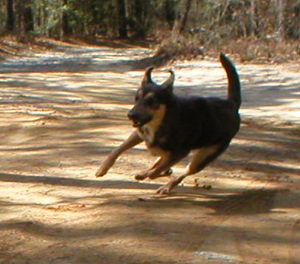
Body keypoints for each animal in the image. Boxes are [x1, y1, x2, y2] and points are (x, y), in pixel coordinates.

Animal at [96, 53, 241, 194]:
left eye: (152, 102)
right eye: (136, 98)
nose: (130, 115)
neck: (163, 120)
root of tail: (231, 104)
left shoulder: (180, 153)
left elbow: (155, 173)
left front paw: (159, 173)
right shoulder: (139, 133)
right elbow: (117, 149)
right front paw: (103, 168)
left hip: (202, 158)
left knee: (180, 173)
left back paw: (166, 185)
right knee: (160, 160)